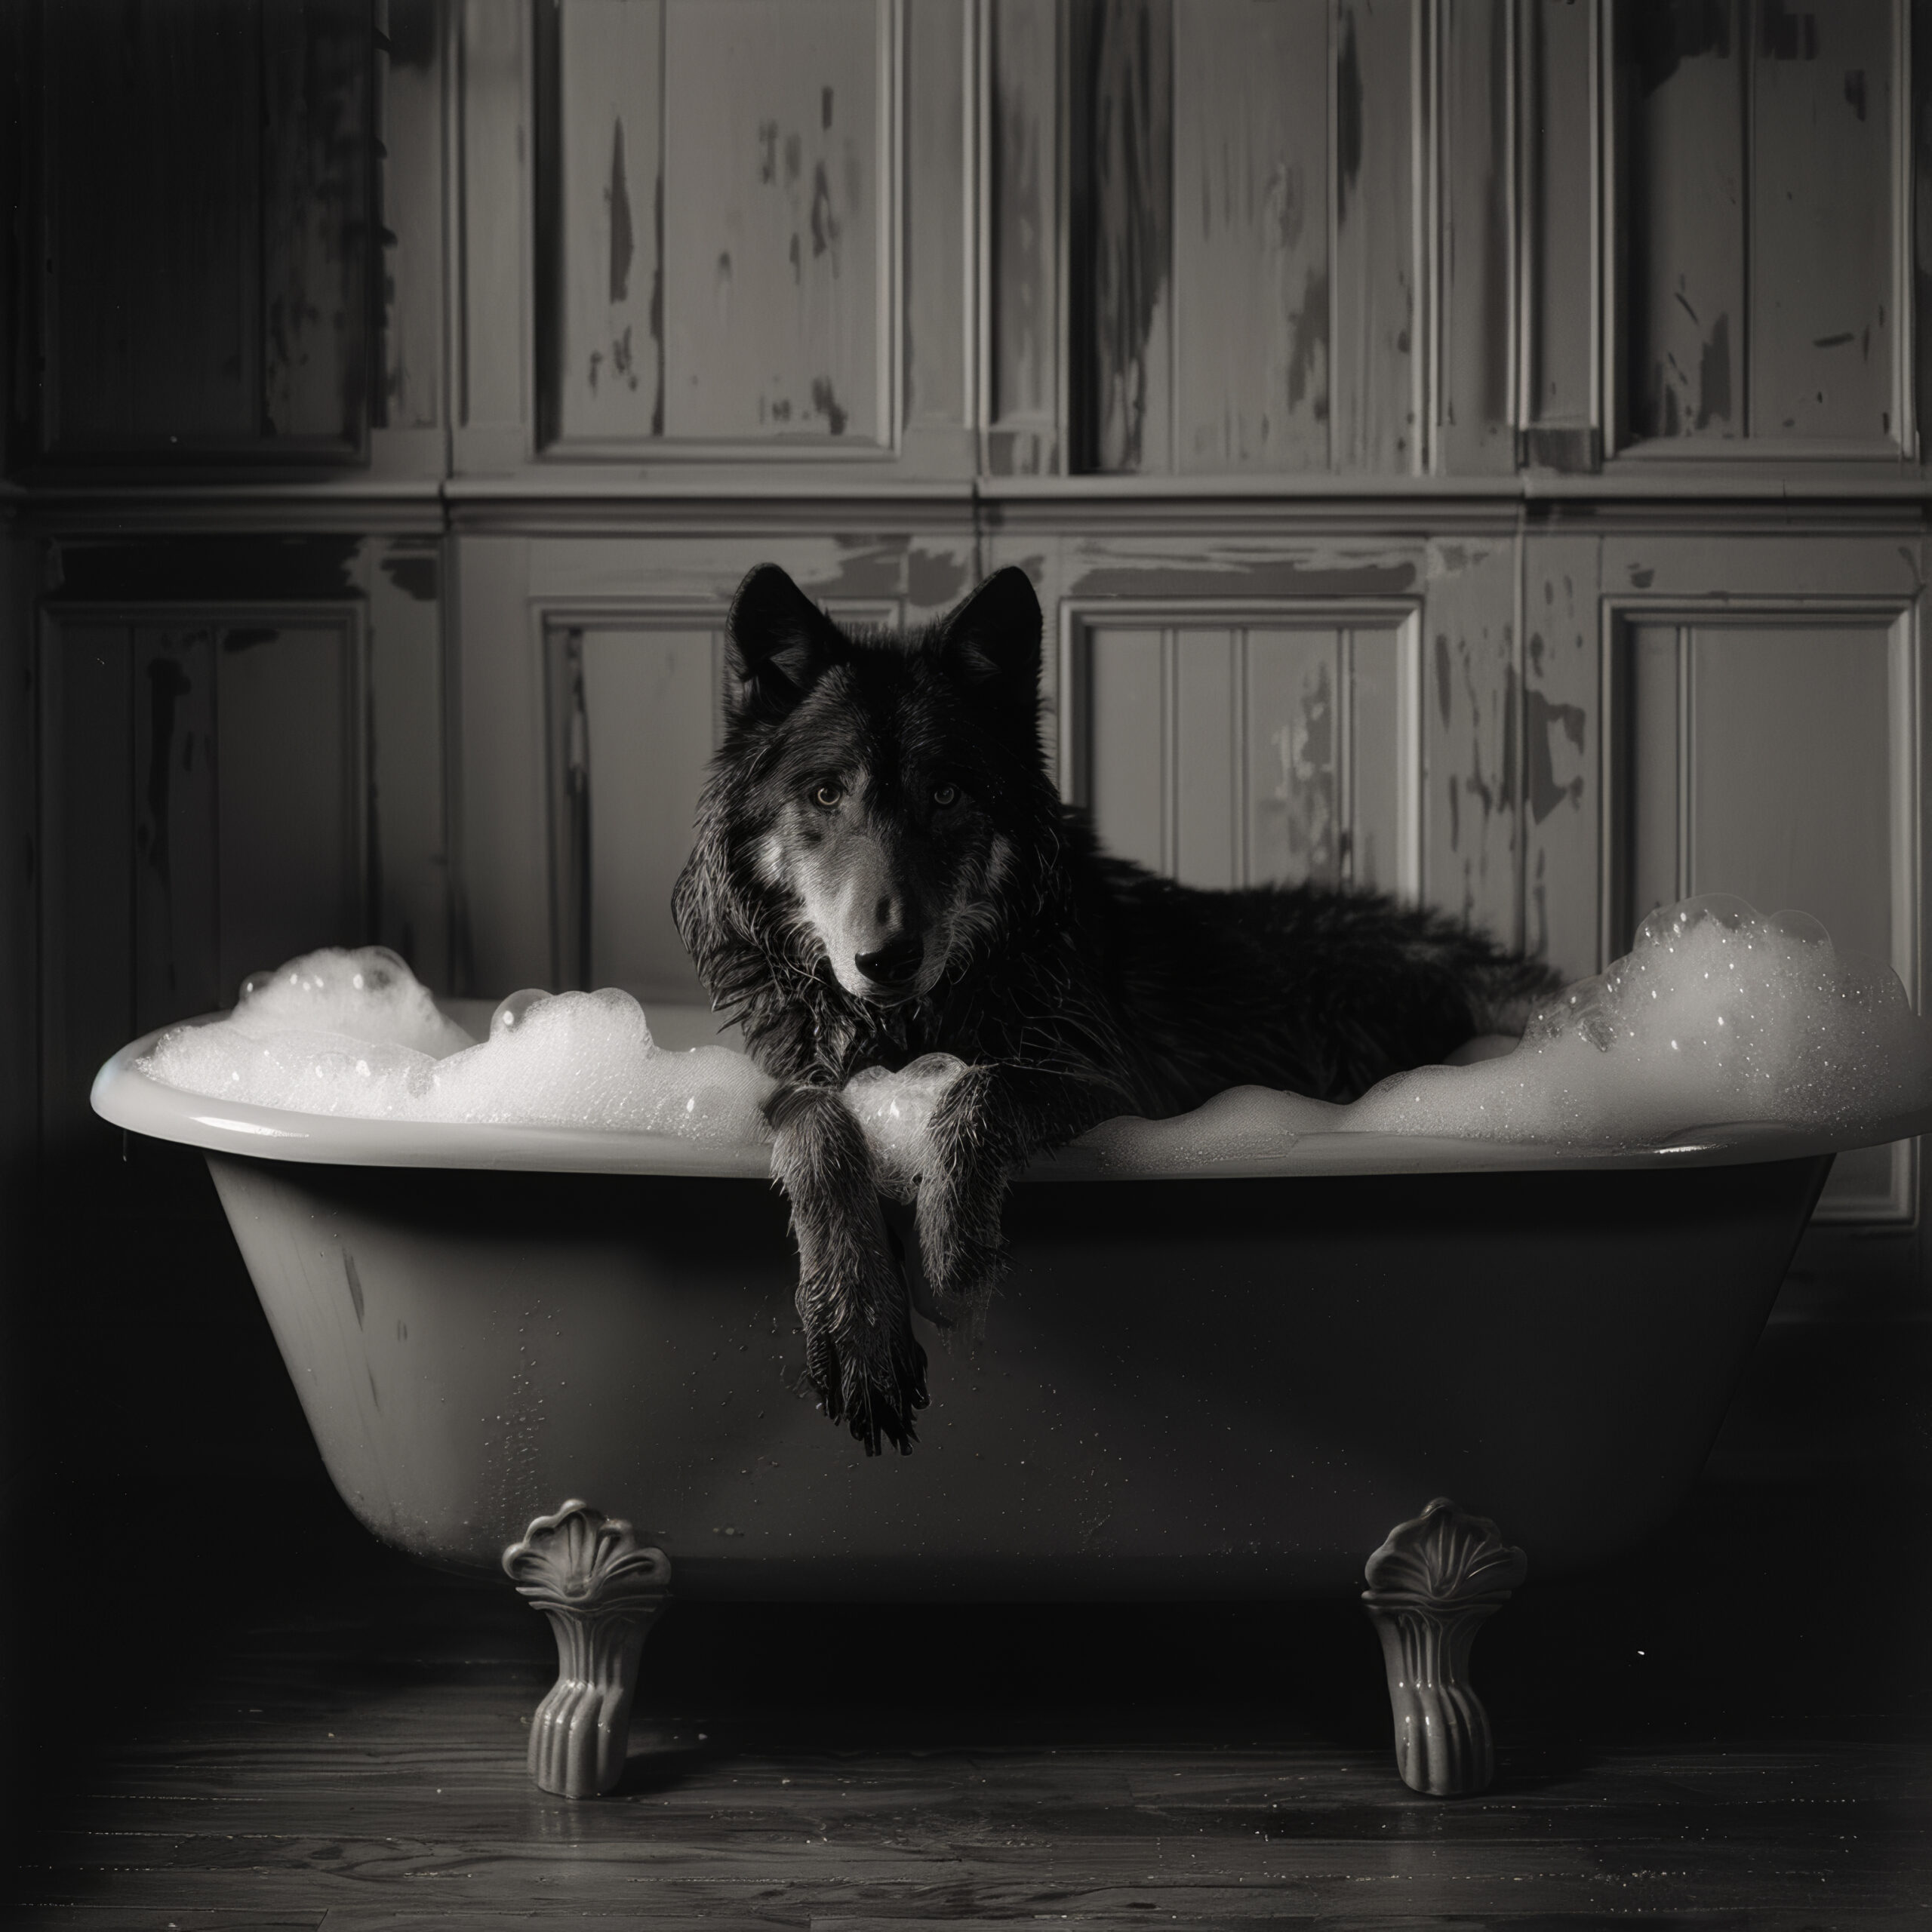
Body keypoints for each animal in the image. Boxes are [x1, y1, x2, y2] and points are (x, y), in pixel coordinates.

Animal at [673, 564, 1559, 1456]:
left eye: (947, 793)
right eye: (826, 794)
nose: (887, 959)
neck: (912, 1024)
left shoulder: (1115, 1085)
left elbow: (981, 1086)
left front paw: (945, 1244)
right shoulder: (776, 1078)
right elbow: (817, 1125)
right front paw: (857, 1318)